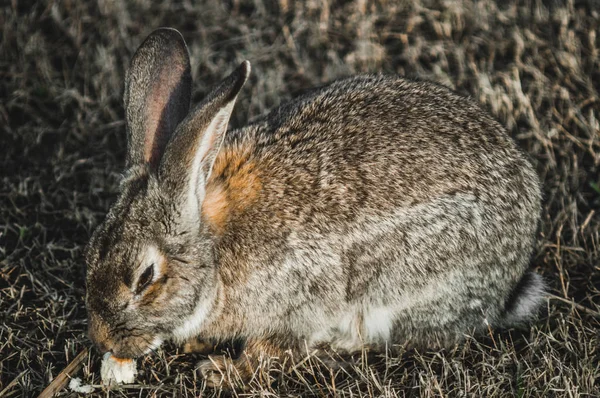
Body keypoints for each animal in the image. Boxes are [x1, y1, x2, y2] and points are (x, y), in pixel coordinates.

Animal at [85, 28, 548, 388]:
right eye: (91, 252)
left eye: (145, 278)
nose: (103, 340)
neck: (214, 247)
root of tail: (510, 283)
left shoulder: (296, 308)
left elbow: (266, 351)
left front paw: (218, 370)